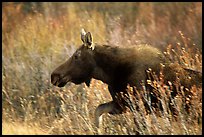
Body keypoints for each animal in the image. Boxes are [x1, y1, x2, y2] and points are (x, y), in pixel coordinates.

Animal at [50, 28, 201, 127]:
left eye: (76, 56)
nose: (54, 76)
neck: (110, 74)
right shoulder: (122, 103)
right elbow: (98, 110)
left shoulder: (138, 104)